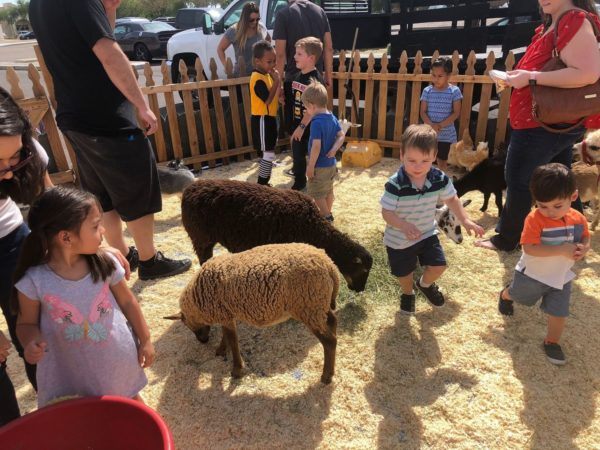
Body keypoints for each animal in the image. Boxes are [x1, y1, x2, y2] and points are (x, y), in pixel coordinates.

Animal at [180, 179, 372, 292]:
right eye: (363, 270)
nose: (360, 289)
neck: (314, 230)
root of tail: (188, 190)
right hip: (200, 238)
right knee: (204, 259)